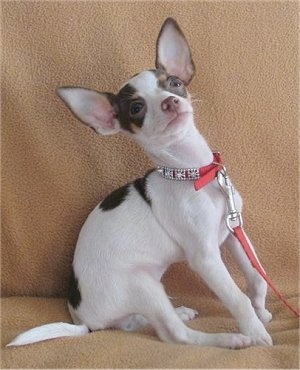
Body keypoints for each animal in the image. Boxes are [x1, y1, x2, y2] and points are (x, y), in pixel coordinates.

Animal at [8, 18, 274, 350]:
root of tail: (85, 322)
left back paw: (180, 311)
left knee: (140, 323)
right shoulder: (206, 257)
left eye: (174, 83)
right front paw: (255, 330)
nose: (171, 102)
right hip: (144, 285)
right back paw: (229, 339)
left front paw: (261, 311)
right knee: (176, 335)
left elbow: (256, 275)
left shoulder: (233, 231)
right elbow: (237, 297)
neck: (191, 172)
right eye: (136, 108)